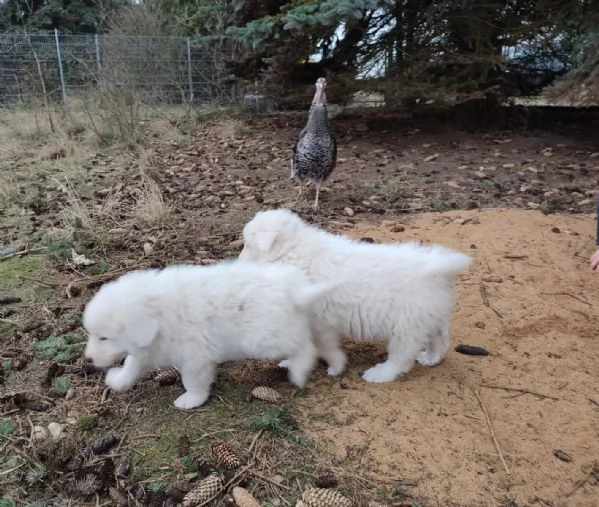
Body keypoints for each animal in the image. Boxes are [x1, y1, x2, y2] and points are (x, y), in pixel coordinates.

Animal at [82, 260, 332, 410]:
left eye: (104, 338)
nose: (88, 359)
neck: (159, 314)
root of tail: (295, 290)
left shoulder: (195, 358)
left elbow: (193, 381)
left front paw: (191, 400)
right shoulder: (148, 350)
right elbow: (131, 367)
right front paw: (117, 380)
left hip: (263, 339)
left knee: (305, 346)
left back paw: (299, 371)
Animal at [240, 208, 474, 382]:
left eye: (248, 246)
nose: (238, 260)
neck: (296, 253)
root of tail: (441, 271)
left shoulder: (319, 320)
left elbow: (317, 344)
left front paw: (333, 366)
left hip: (407, 325)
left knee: (401, 356)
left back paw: (379, 374)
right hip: (431, 316)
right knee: (440, 340)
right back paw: (430, 358)